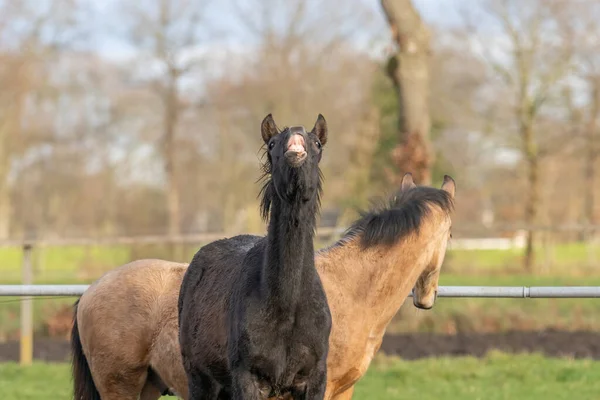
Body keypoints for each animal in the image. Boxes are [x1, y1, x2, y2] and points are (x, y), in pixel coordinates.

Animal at [179, 114, 332, 398]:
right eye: (272, 143)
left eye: (317, 143)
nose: (295, 134)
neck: (287, 306)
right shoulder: (247, 378)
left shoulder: (314, 379)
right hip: (200, 381)